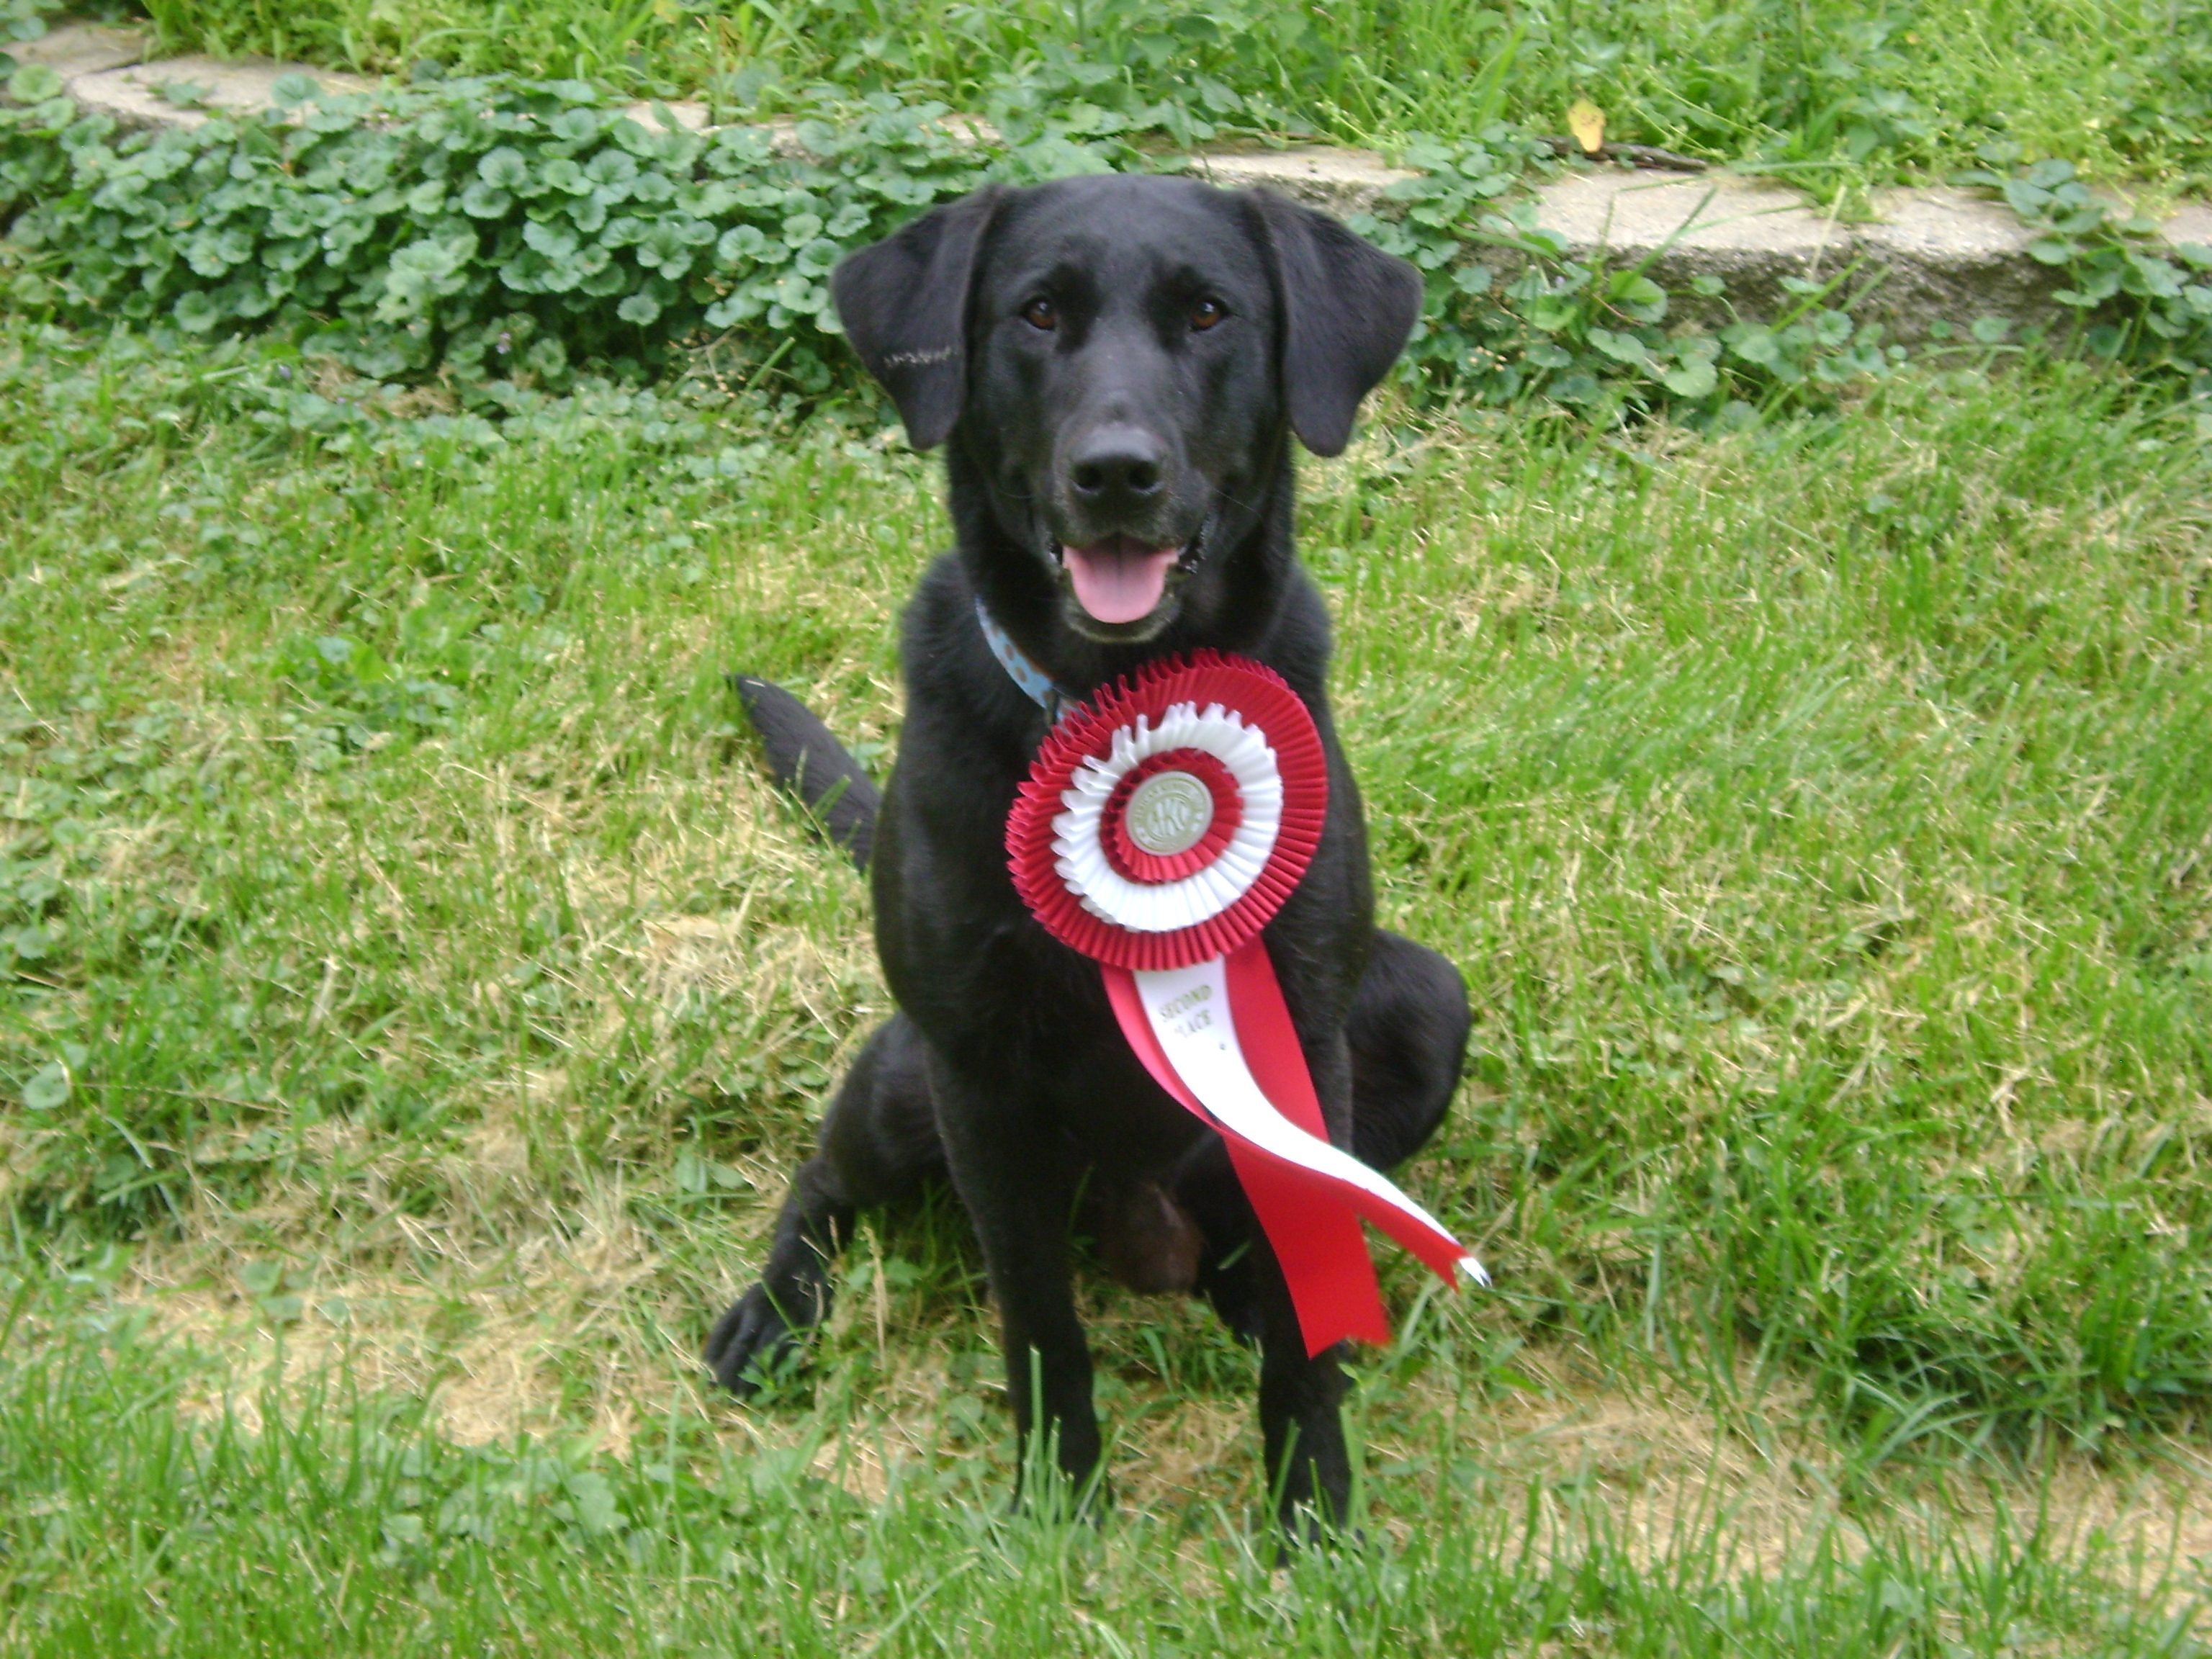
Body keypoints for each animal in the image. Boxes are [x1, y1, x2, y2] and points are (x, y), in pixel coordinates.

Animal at [708, 169, 1468, 1530]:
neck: (1120, 697)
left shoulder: (1302, 1037)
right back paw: (775, 1312)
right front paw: (1058, 1506)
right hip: (901, 1083)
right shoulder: (976, 1071)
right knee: (822, 1183)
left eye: (1210, 313)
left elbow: (1303, 1340)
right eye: (1039, 312)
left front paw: (1312, 1513)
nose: (1117, 472)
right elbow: (1038, 1325)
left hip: (1427, 1004)